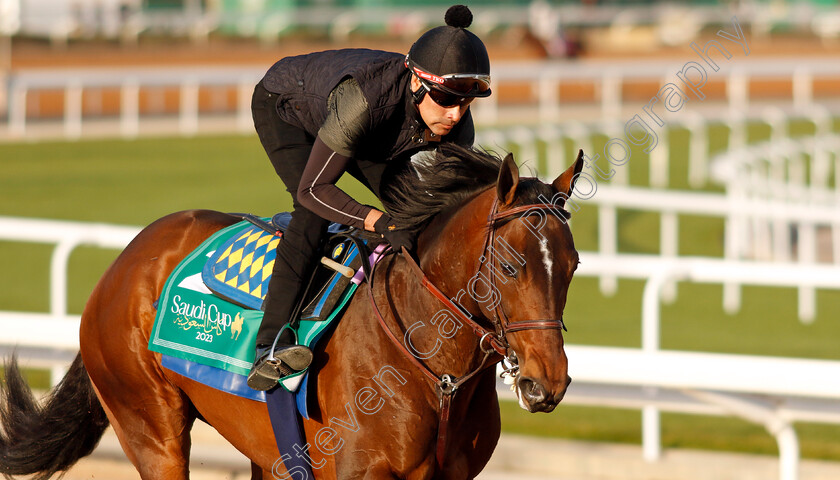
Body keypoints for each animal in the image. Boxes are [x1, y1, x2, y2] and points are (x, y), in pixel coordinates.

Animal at [0, 143, 580, 480]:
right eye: (510, 267)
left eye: (573, 266)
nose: (546, 383)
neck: (433, 371)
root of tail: (124, 260)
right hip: (149, 427)